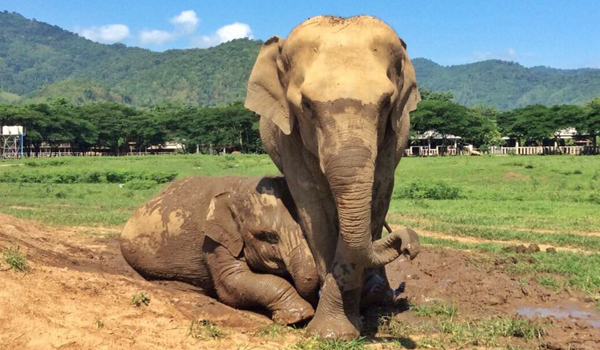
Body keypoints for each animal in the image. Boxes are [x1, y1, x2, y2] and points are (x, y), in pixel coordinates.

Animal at [244, 15, 422, 340]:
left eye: (387, 103)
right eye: (306, 105)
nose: (410, 245)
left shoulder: (393, 138)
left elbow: (378, 195)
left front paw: (341, 327)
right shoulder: (289, 137)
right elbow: (313, 207)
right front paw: (330, 329)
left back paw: (375, 295)